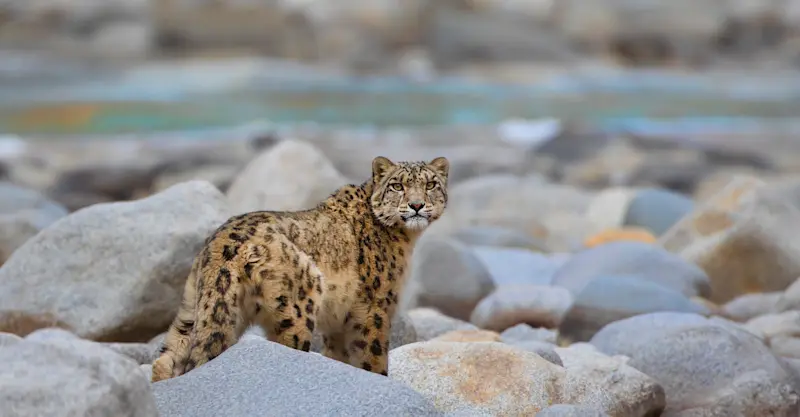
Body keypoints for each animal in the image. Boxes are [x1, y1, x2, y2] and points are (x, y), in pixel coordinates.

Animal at [151, 155, 449, 382]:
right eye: (397, 185)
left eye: (431, 183)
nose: (417, 205)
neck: (406, 240)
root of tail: (224, 244)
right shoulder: (375, 308)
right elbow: (371, 357)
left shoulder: (339, 322)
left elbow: (339, 356)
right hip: (298, 307)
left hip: (192, 309)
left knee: (168, 356)